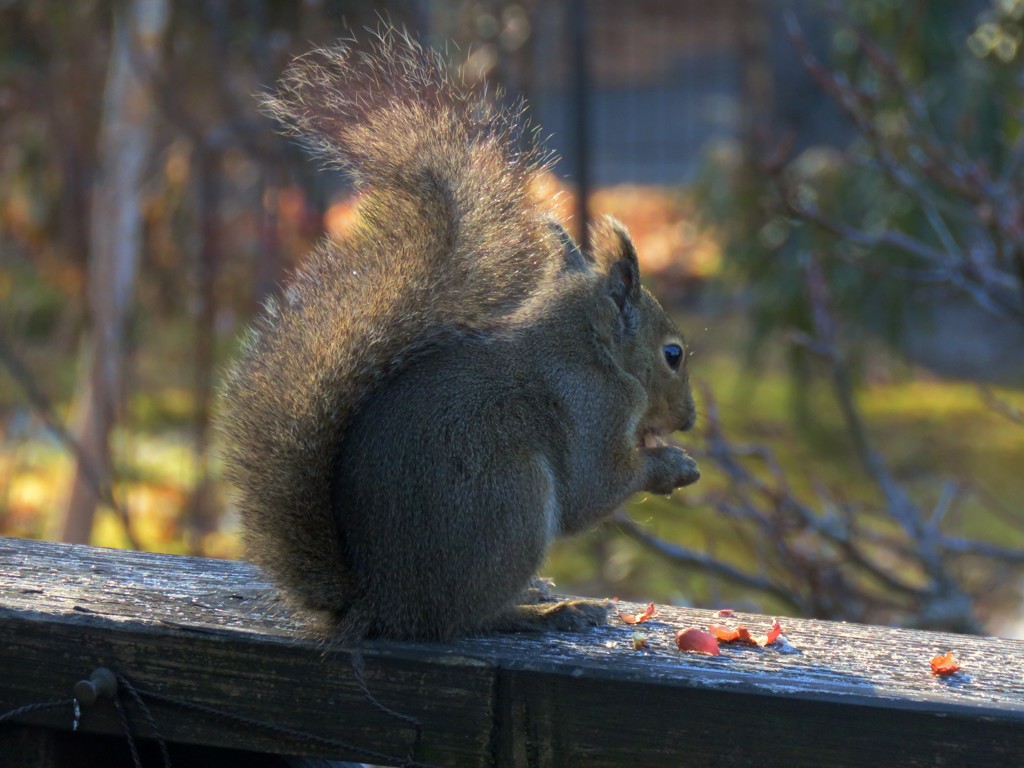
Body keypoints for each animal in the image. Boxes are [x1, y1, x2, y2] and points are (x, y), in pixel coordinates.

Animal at [220, 31, 700, 643]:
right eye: (672, 355)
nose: (689, 419)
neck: (590, 351)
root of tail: (382, 604)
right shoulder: (592, 409)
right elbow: (592, 490)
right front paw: (671, 466)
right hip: (510, 502)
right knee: (469, 618)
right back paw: (543, 611)